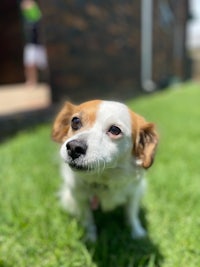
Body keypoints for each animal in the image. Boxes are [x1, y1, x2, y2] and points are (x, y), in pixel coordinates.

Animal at [52, 100, 159, 243]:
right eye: (75, 121)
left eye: (115, 130)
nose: (74, 147)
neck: (103, 178)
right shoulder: (80, 198)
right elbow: (88, 219)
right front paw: (90, 237)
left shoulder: (134, 192)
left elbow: (131, 213)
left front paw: (137, 232)